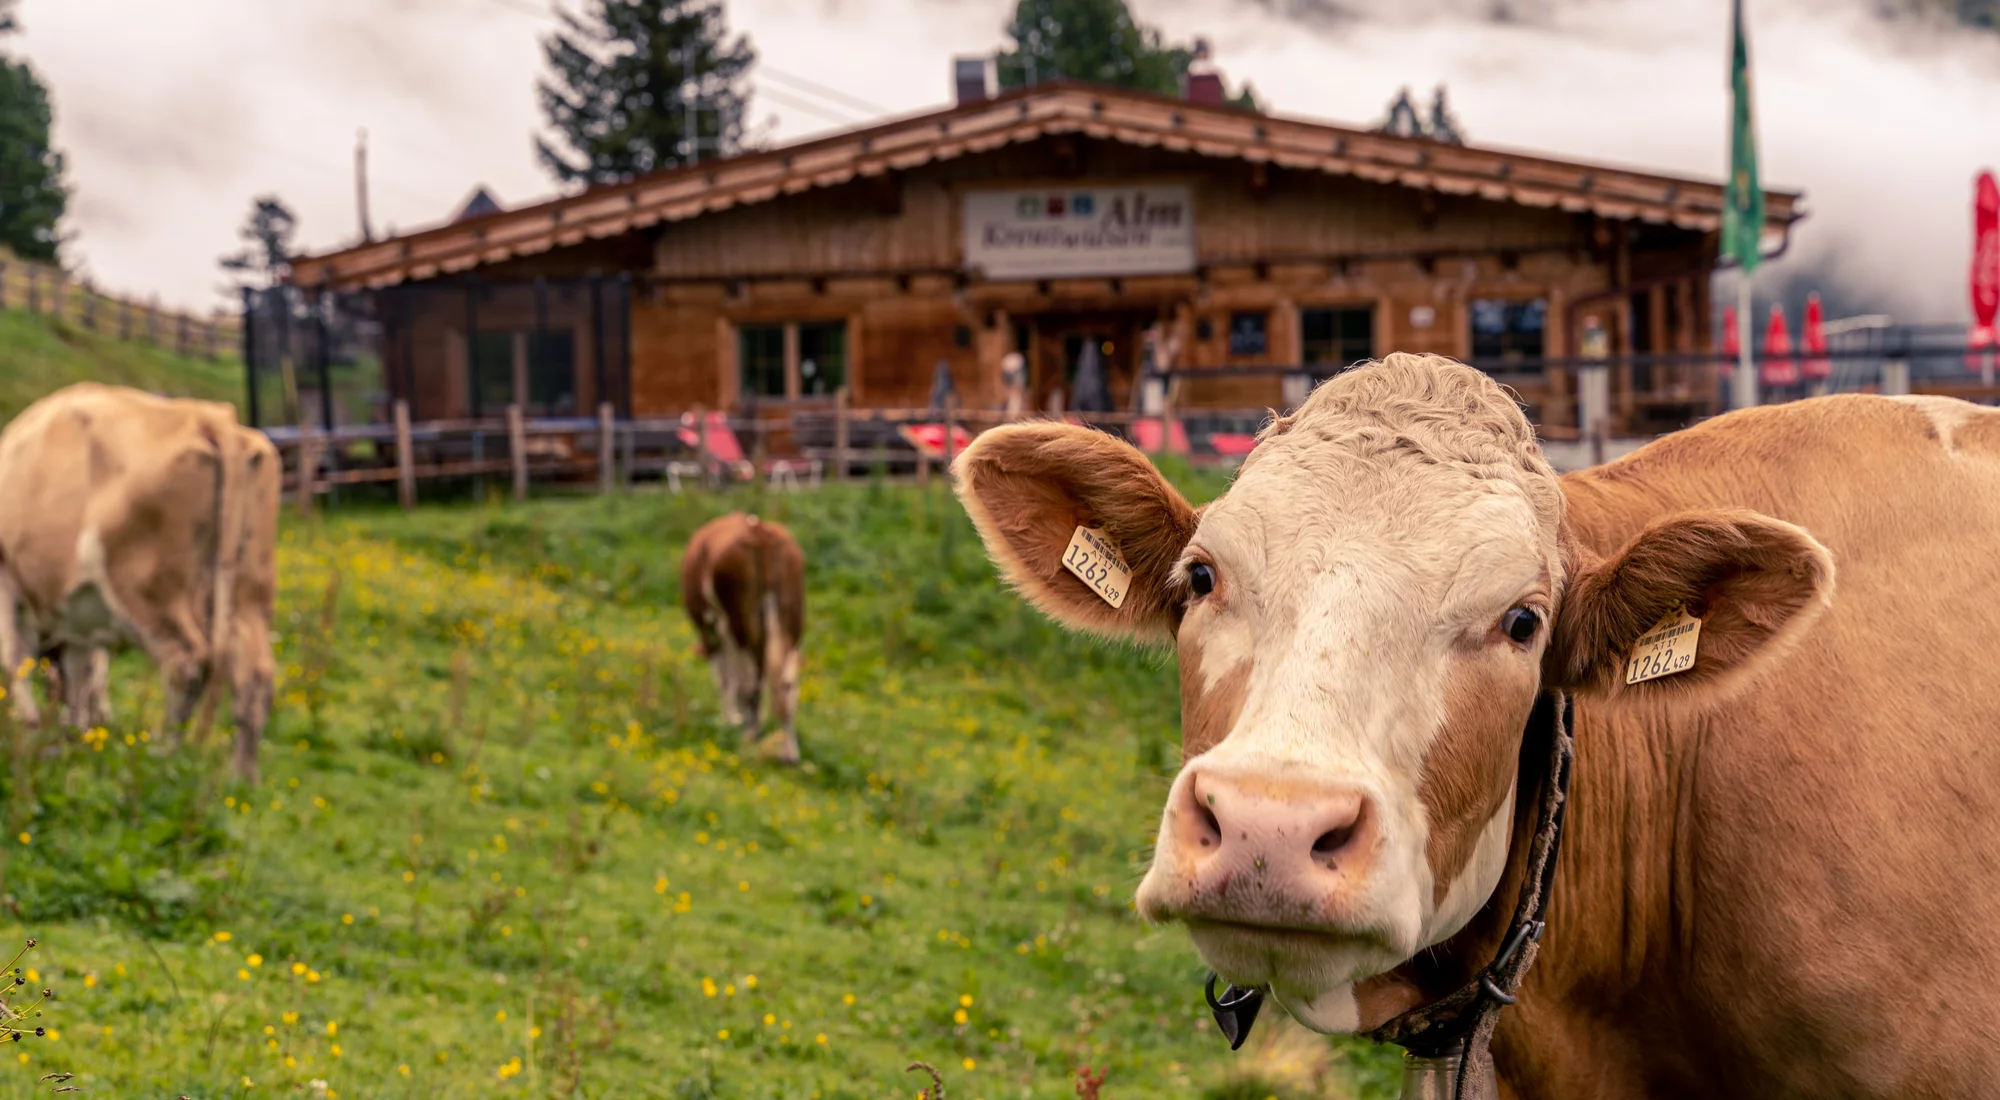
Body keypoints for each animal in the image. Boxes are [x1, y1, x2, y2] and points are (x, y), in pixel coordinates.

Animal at [0, 386, 282, 784]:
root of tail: (206, 416)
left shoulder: (8, 583)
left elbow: (17, 661)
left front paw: (28, 731)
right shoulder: (77, 621)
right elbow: (81, 673)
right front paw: (73, 741)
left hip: (148, 588)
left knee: (186, 665)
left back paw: (163, 762)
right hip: (248, 591)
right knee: (255, 677)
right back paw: (243, 780)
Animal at [680, 512, 804, 764]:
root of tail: (758, 529)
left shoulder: (710, 632)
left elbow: (726, 680)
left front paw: (730, 721)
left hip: (740, 625)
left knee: (749, 682)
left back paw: (747, 737)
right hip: (789, 623)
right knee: (786, 681)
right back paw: (789, 752)